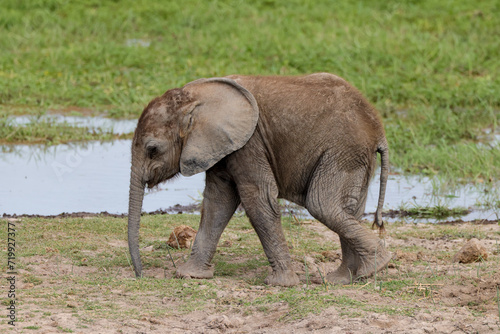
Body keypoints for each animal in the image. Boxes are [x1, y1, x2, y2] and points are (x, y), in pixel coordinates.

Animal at [128, 73, 390, 288]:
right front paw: (190, 275)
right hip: (353, 156)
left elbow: (258, 198)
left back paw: (377, 265)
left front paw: (281, 284)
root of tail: (378, 129)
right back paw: (343, 279)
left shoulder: (249, 143)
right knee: (348, 209)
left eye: (152, 149)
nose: (141, 275)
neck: (194, 97)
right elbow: (217, 202)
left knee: (323, 205)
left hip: (342, 150)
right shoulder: (222, 146)